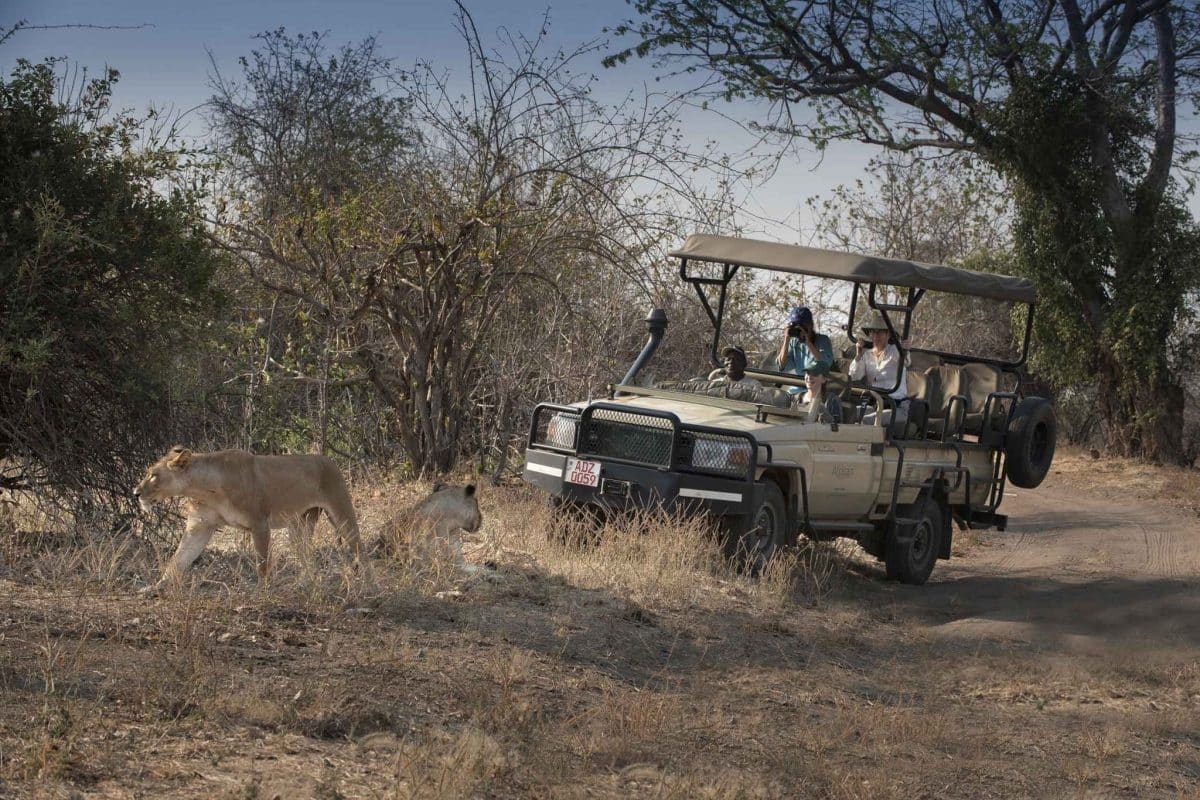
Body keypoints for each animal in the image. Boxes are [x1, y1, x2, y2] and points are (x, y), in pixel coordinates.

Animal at [133, 446, 366, 592]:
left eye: (154, 475)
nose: (135, 493)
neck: (203, 488)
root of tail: (327, 458)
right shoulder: (200, 526)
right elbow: (179, 558)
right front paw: (157, 586)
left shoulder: (260, 523)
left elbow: (262, 563)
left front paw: (263, 592)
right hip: (299, 524)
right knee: (307, 556)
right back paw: (303, 584)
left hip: (341, 511)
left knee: (360, 550)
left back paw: (370, 584)